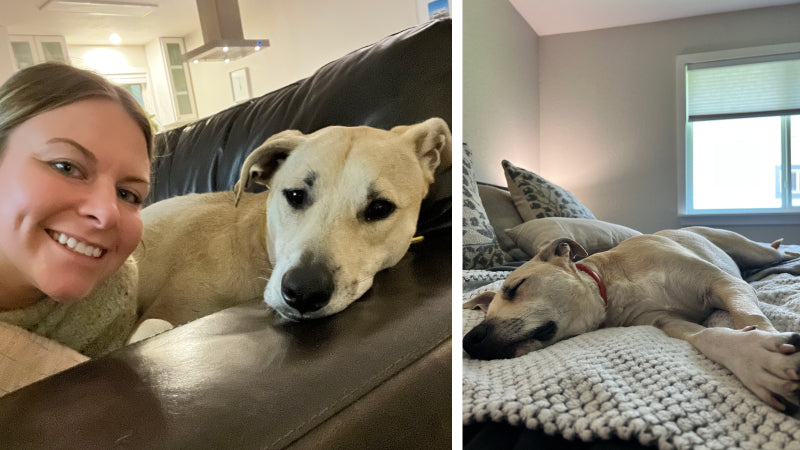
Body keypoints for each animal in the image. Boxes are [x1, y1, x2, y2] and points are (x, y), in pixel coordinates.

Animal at [462, 227, 800, 414]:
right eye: (487, 314)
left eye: (515, 287)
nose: (469, 340)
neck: (611, 286)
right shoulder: (668, 322)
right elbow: (708, 336)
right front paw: (754, 358)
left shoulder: (724, 284)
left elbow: (747, 314)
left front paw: (764, 343)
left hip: (753, 252)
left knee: (780, 255)